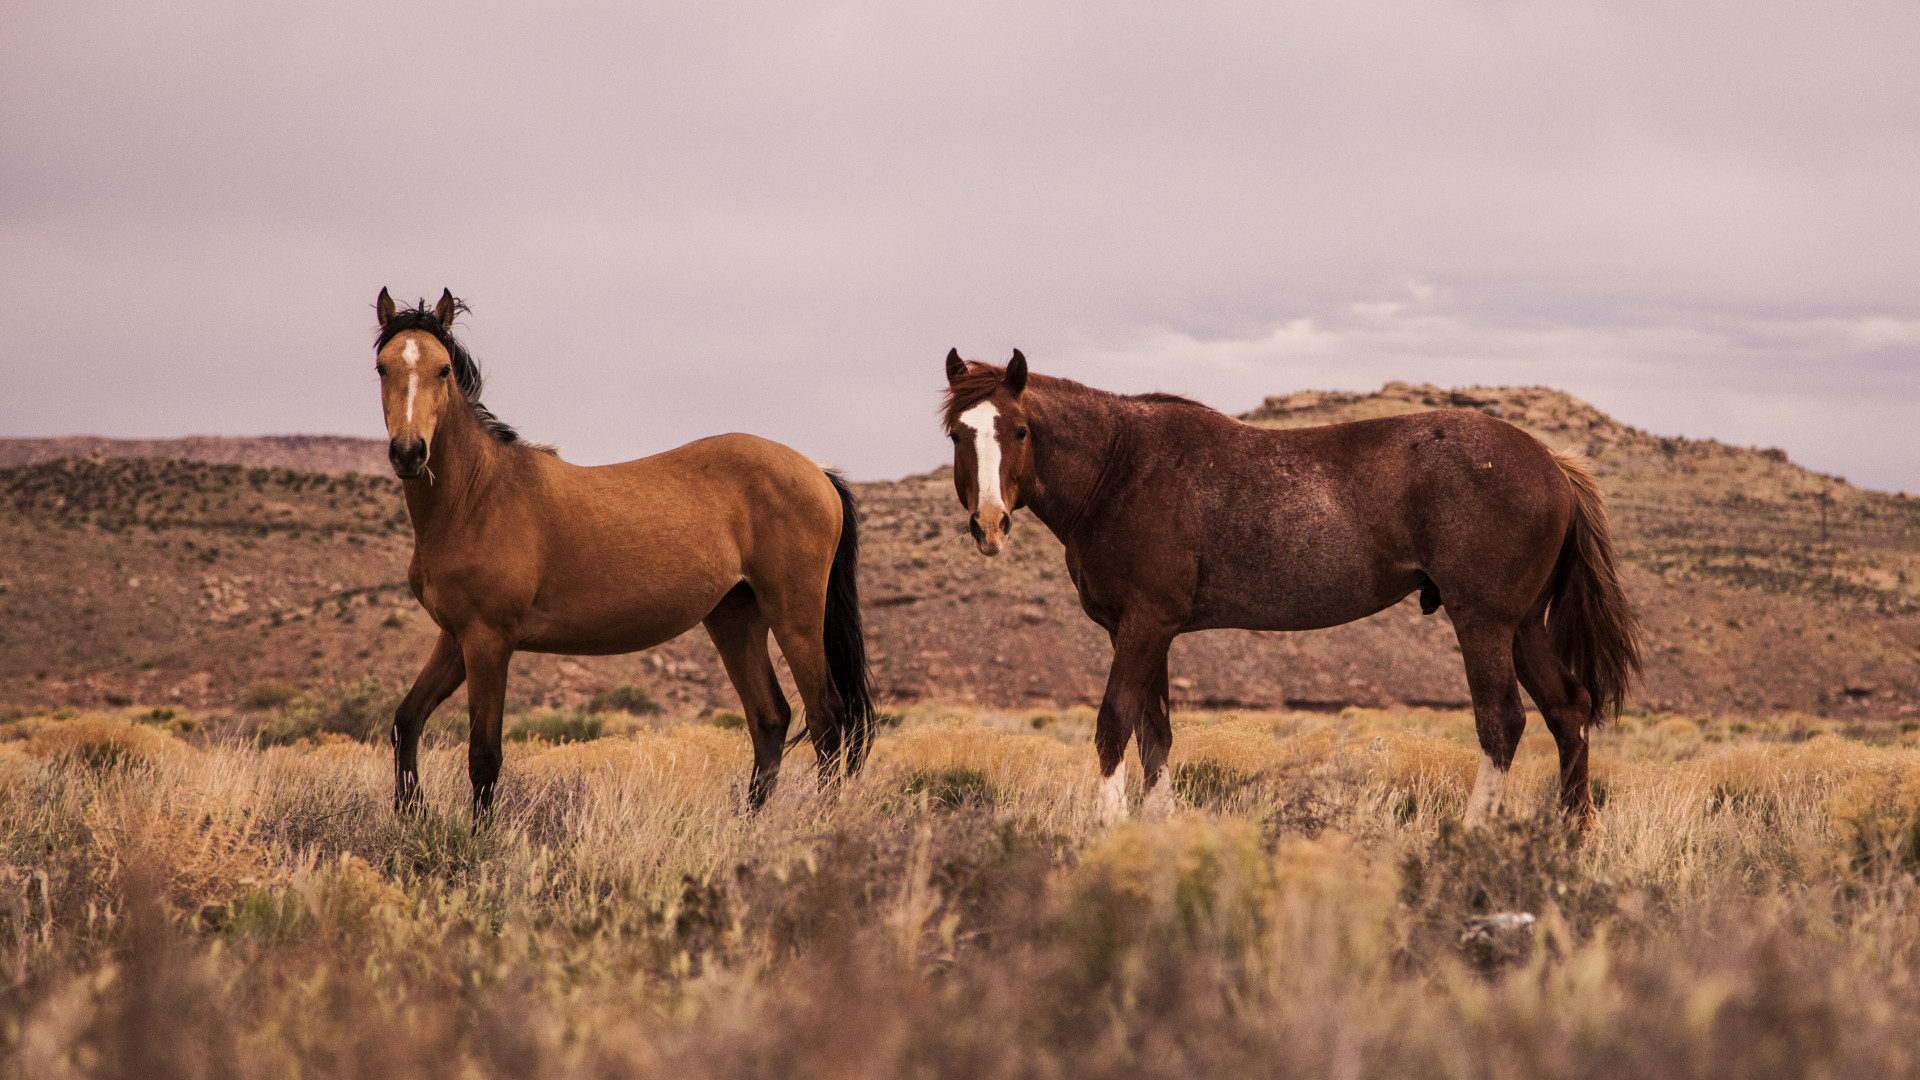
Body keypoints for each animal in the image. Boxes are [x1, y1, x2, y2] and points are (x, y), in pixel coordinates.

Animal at [371, 288, 874, 815]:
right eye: (383, 367)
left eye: (443, 369)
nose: (409, 453)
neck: (477, 495)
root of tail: (817, 471)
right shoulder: (456, 637)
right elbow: (406, 721)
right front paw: (411, 812)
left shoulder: (488, 641)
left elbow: (484, 756)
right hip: (735, 617)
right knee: (770, 718)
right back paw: (749, 822)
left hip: (794, 615)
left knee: (827, 720)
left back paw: (820, 820)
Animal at [940, 349, 1641, 826]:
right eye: (957, 434)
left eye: (1019, 430)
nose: (989, 523)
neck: (1121, 468)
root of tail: (1552, 463)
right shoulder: (1147, 633)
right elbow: (1154, 735)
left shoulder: (1143, 626)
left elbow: (1114, 724)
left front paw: (1110, 830)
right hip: (1522, 626)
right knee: (1568, 711)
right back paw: (1569, 838)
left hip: (1484, 623)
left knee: (1502, 722)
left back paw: (1473, 836)